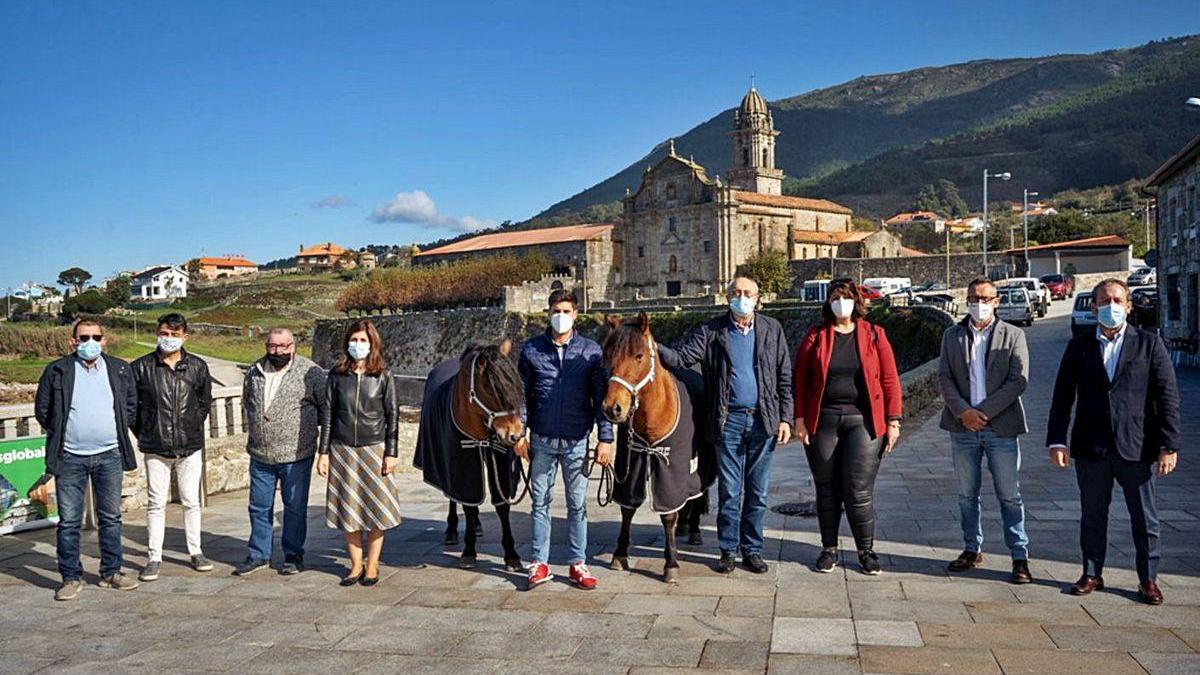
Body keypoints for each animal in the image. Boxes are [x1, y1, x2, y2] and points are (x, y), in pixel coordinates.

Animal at [412, 341, 525, 566]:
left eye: (516, 385)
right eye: (490, 389)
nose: (516, 435)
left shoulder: (497, 460)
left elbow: (502, 507)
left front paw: (511, 555)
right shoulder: (461, 462)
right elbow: (467, 504)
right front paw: (469, 550)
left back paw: (477, 525)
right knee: (452, 496)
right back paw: (451, 529)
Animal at [600, 312, 710, 581]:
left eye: (639, 355)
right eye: (607, 355)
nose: (612, 408)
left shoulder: (672, 467)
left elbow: (668, 514)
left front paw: (671, 563)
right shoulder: (631, 465)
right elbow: (627, 508)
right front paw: (620, 554)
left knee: (698, 492)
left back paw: (693, 529)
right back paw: (684, 526)